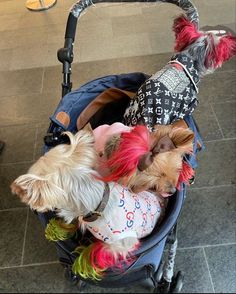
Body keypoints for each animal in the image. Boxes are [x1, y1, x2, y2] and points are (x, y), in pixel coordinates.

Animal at [10, 130, 164, 280]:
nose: (17, 190)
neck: (99, 202)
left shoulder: (122, 244)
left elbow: (96, 251)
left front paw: (81, 265)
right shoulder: (81, 215)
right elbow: (74, 222)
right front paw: (56, 229)